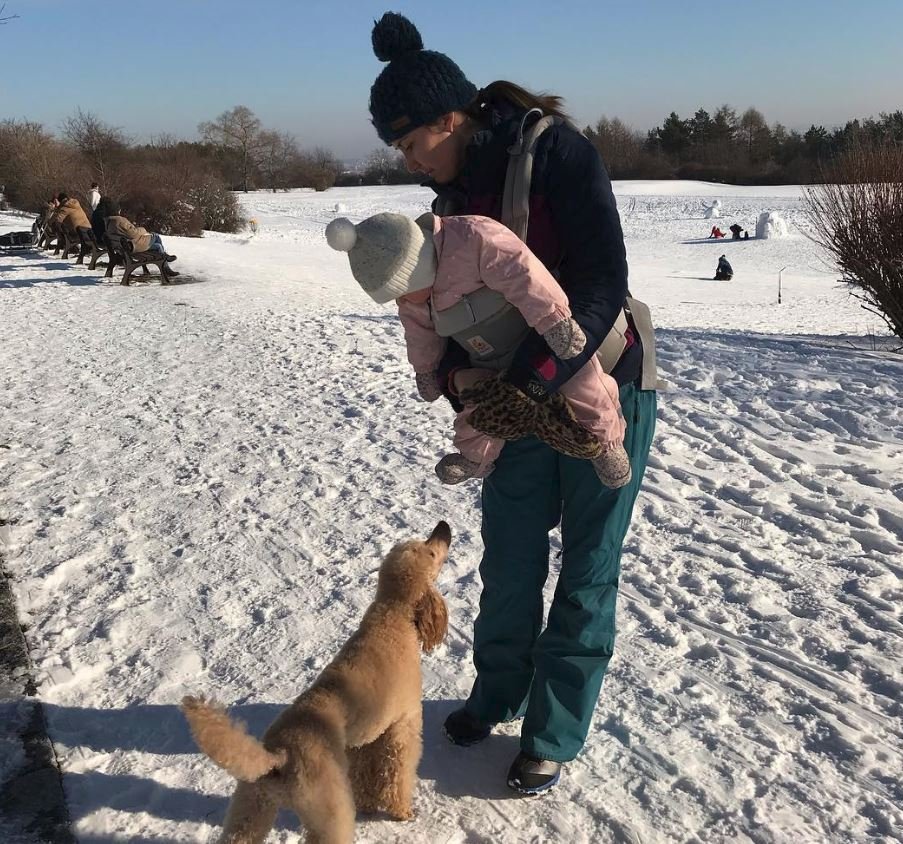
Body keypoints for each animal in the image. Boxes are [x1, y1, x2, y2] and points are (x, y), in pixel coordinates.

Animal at [183, 520, 452, 844]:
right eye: (431, 552)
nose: (443, 527)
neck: (393, 615)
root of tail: (279, 757)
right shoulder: (403, 723)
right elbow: (397, 774)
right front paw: (402, 812)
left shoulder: (364, 737)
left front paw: (367, 805)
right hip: (328, 808)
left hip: (252, 803)